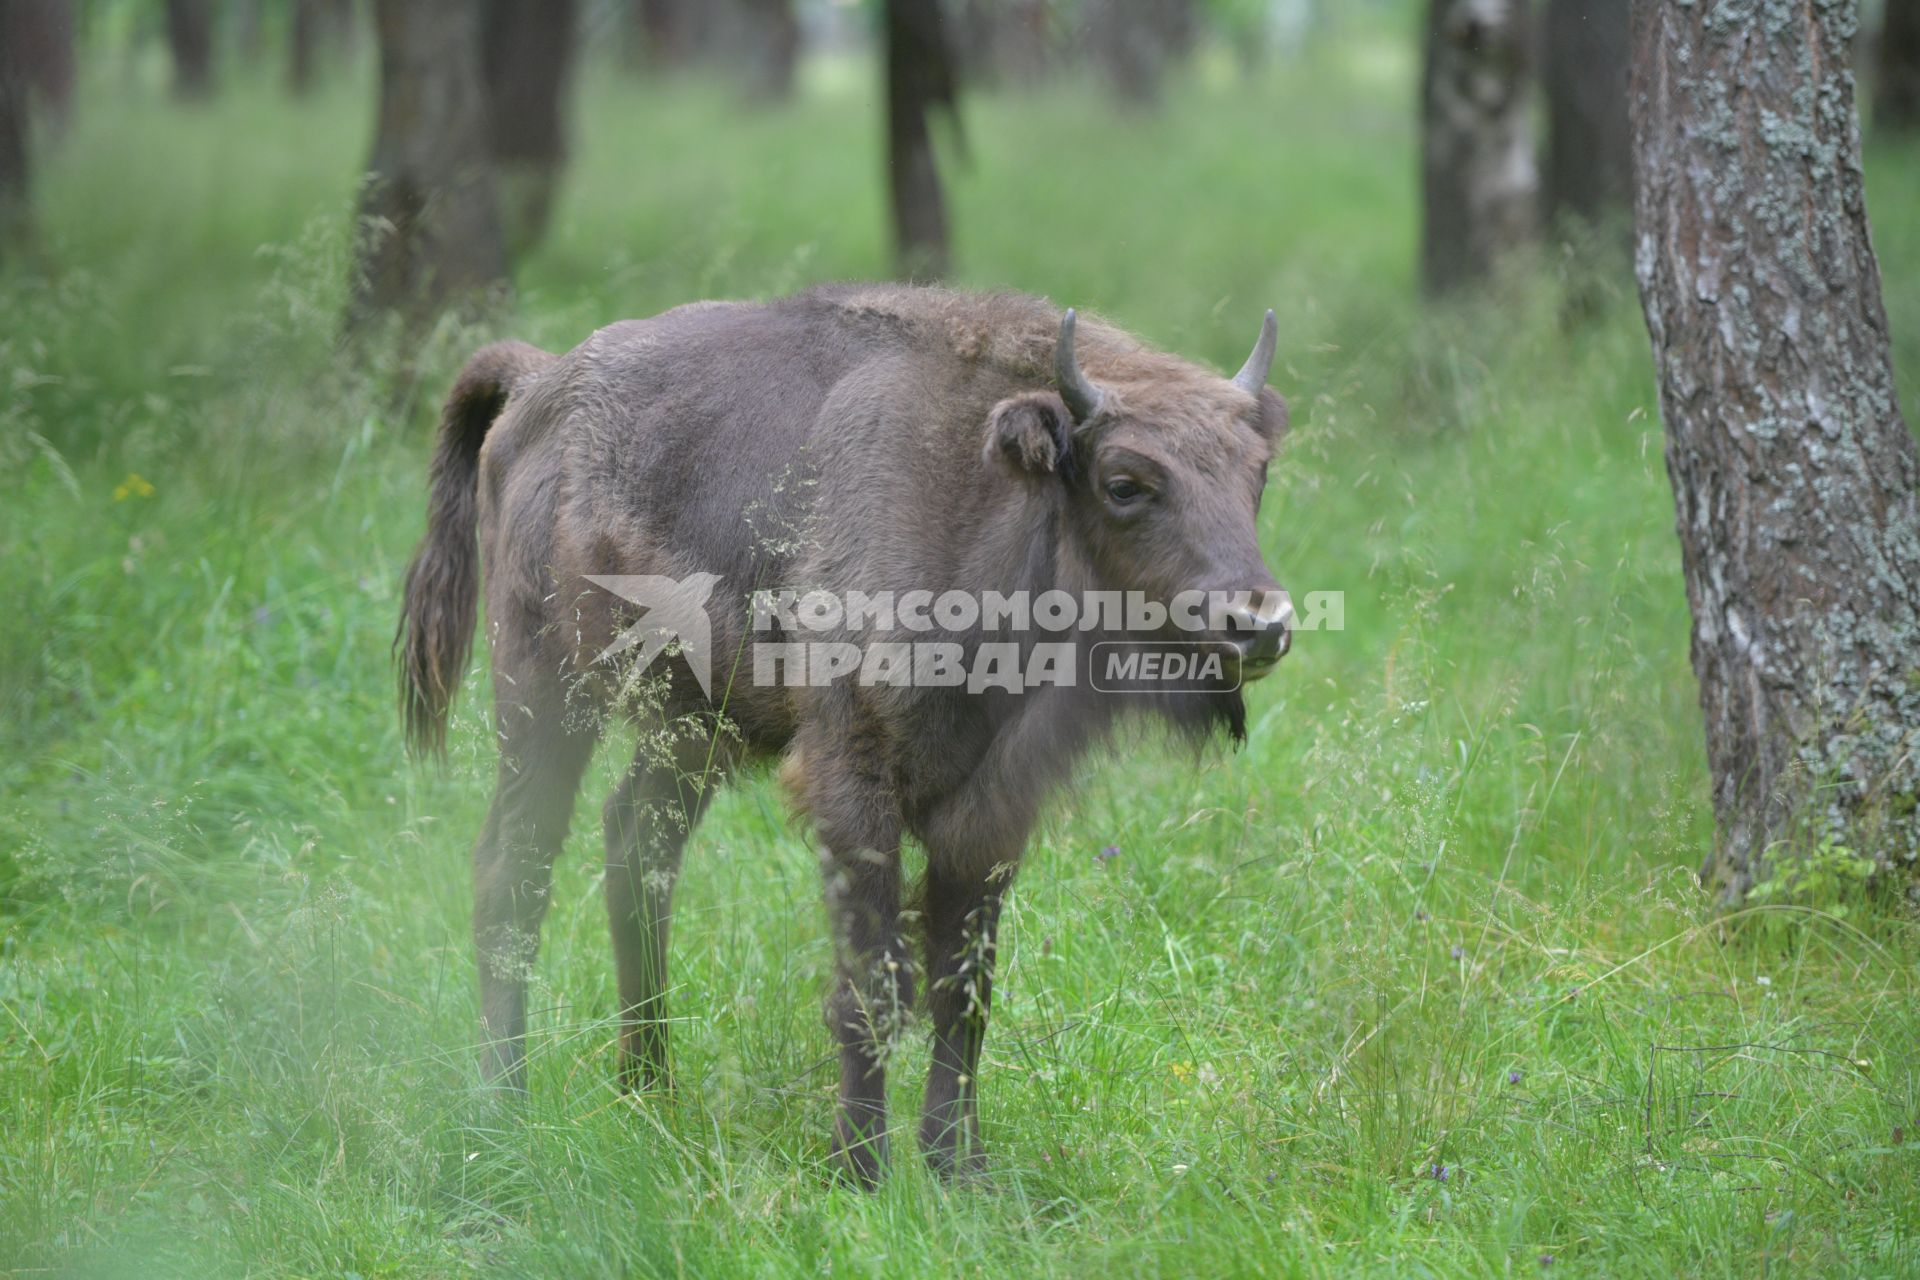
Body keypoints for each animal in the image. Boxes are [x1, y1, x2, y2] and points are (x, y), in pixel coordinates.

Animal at [397, 285, 1297, 1189]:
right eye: (1125, 483)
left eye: (1257, 474)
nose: (1260, 623)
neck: (980, 503)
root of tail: (538, 384)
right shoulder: (852, 782)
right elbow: (873, 981)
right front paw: (860, 1169)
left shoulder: (991, 810)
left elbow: (962, 988)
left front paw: (956, 1168)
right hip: (543, 695)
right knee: (514, 867)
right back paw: (504, 1104)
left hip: (688, 731)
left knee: (637, 852)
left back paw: (649, 1093)